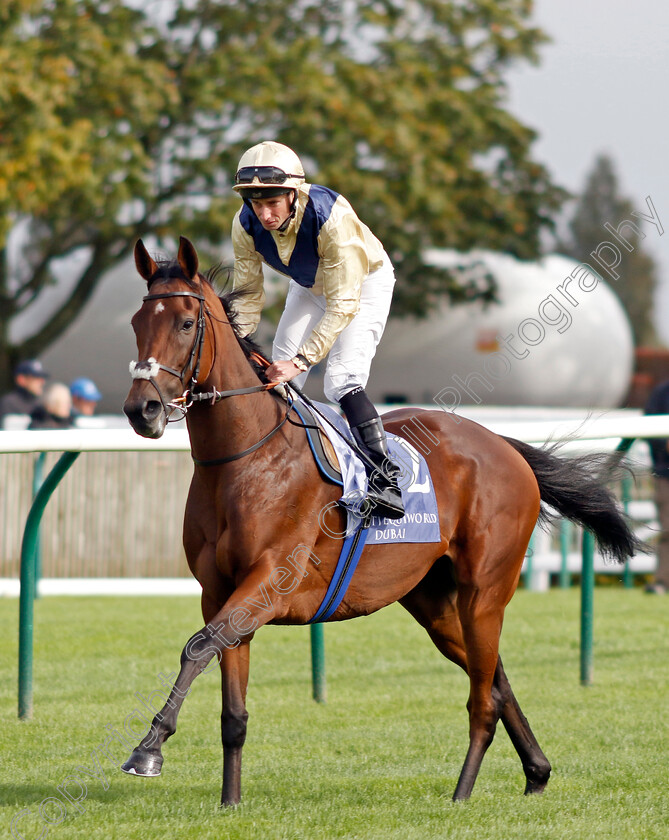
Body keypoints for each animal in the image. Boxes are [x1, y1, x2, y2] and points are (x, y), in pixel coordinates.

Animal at [121, 236, 640, 808]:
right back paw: (537, 771)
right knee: (496, 679)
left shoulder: (267, 585)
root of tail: (504, 445)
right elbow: (230, 707)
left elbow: (197, 646)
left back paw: (462, 794)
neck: (246, 459)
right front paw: (229, 802)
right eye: (136, 323)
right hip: (435, 603)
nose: (142, 409)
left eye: (186, 323)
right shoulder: (221, 592)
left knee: (483, 698)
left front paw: (148, 750)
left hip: (484, 591)